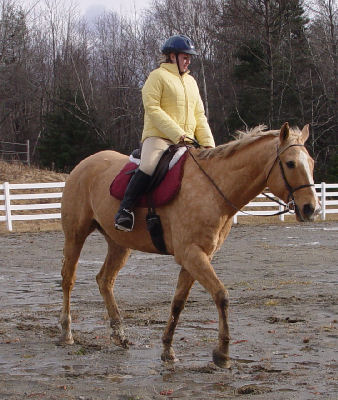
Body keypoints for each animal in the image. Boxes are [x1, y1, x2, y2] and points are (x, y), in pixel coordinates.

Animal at [59, 122, 320, 368]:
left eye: (311, 162)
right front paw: (222, 353)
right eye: (290, 164)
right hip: (75, 235)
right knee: (68, 279)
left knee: (105, 280)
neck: (213, 189)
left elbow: (178, 303)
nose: (311, 209)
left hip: (119, 244)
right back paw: (67, 332)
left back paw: (119, 335)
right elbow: (221, 295)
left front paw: (167, 349)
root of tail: (84, 164)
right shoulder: (192, 254)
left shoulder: (197, 257)